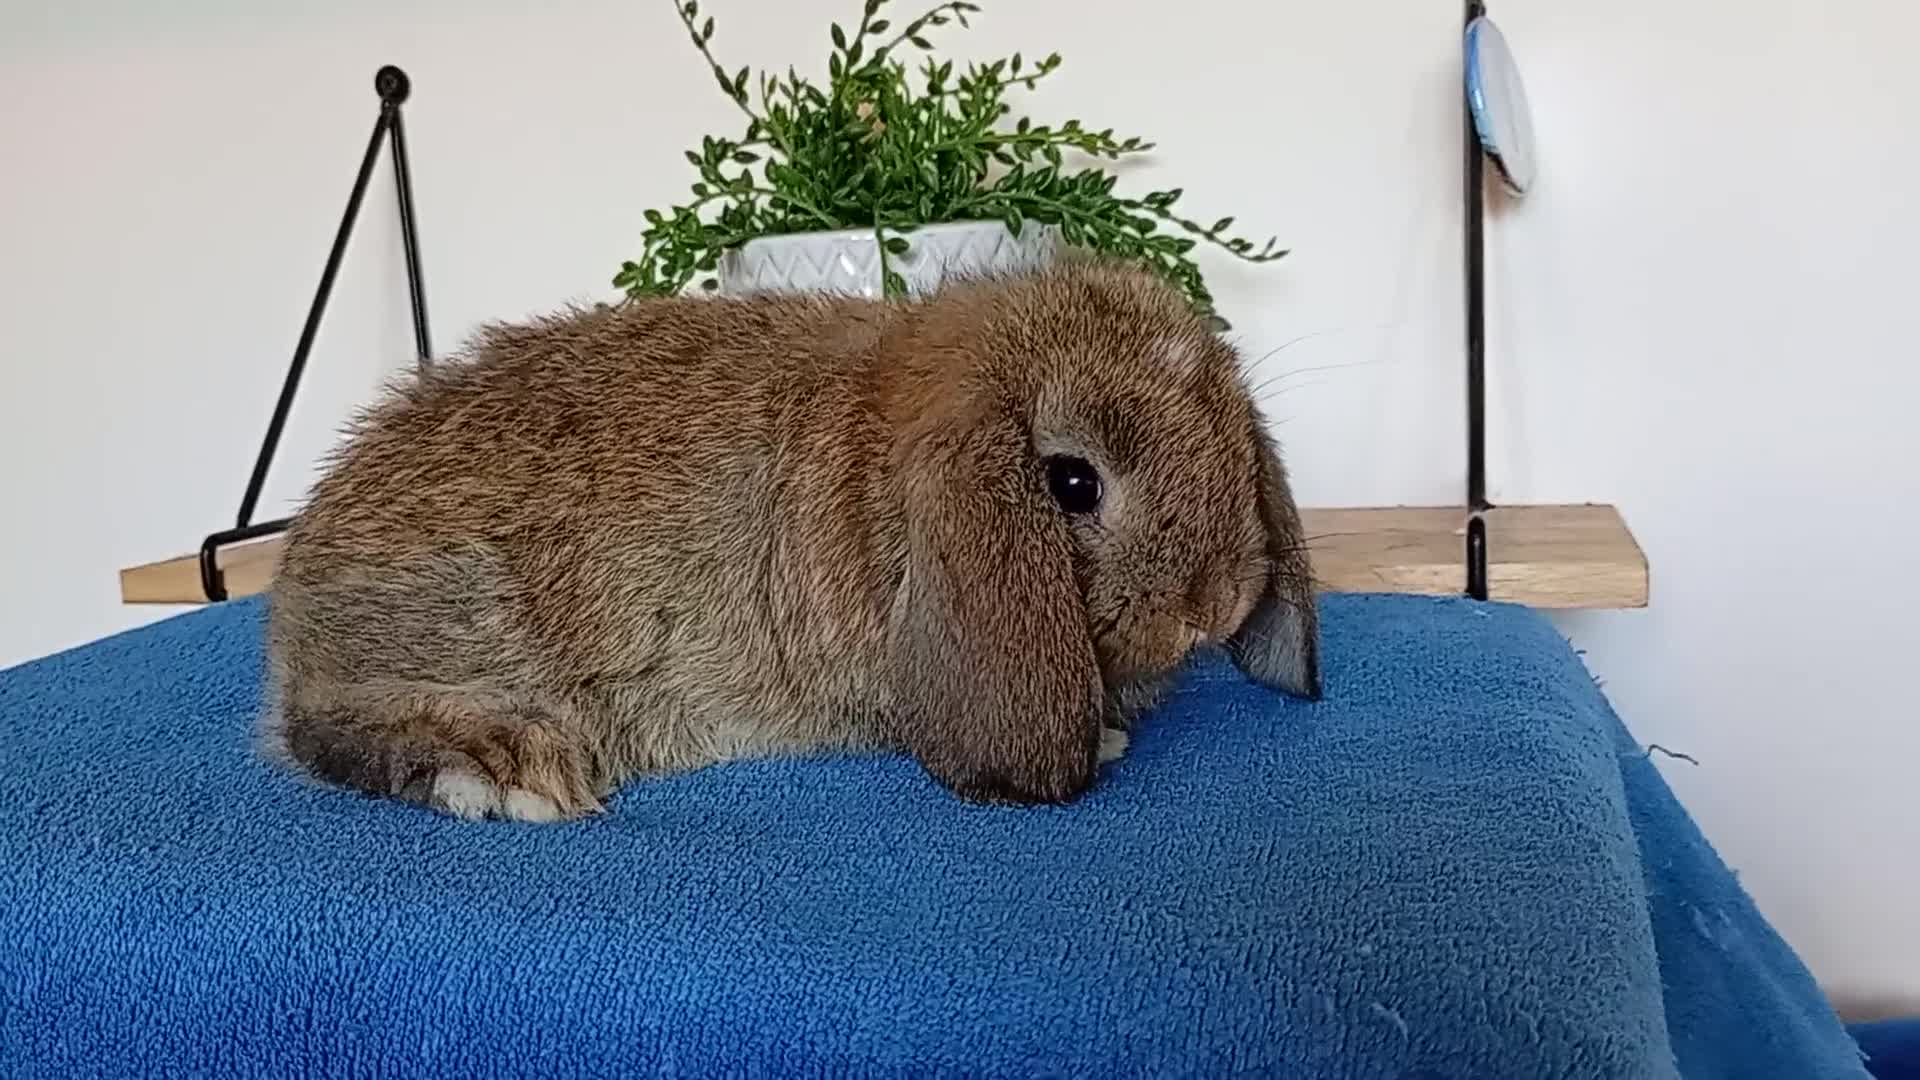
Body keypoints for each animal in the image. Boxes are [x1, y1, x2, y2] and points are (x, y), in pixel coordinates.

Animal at [260, 255, 1321, 823]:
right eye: (1071, 482)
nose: (1215, 604)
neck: (881, 475)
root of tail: (293, 609)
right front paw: (1103, 741)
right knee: (323, 730)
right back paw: (503, 769)